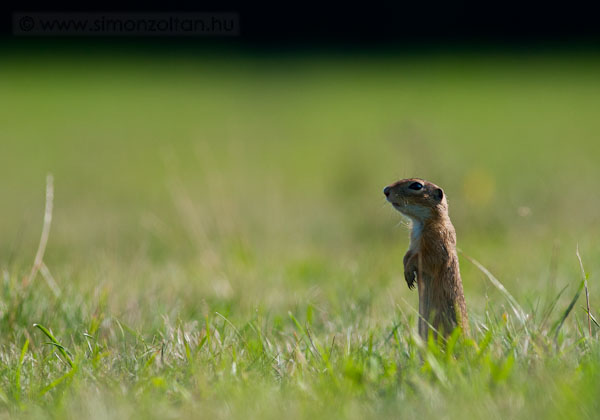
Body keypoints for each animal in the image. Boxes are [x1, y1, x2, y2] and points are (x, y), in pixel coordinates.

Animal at [384, 179, 468, 340]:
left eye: (416, 185)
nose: (385, 190)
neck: (420, 222)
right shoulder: (412, 244)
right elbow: (407, 255)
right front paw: (407, 275)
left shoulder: (437, 240)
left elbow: (426, 259)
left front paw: (409, 273)